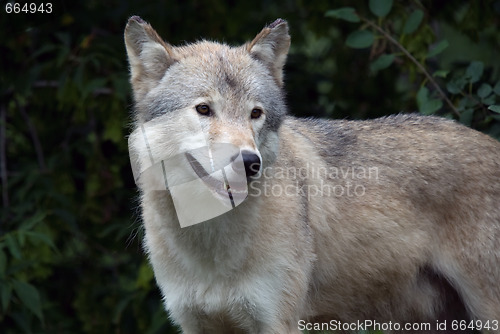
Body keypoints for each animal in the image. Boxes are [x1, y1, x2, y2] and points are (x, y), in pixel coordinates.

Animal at [123, 15, 498, 334]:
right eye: (203, 109)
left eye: (255, 114)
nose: (249, 162)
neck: (212, 248)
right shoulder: (196, 324)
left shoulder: (278, 322)